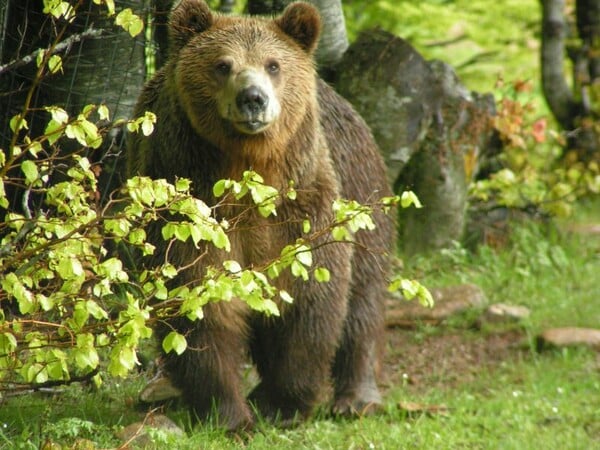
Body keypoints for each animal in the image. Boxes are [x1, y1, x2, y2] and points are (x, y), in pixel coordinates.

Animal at [128, 0, 394, 430]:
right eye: (222, 65)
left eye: (273, 65)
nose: (253, 98)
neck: (249, 172)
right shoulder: (190, 212)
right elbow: (201, 306)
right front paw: (230, 415)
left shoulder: (302, 208)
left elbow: (309, 299)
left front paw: (282, 404)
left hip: (361, 188)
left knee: (363, 301)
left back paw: (356, 398)